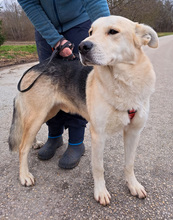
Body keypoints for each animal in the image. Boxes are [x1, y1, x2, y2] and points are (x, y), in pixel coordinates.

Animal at [8, 15, 159, 206]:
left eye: (113, 31)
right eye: (91, 32)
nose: (82, 46)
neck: (123, 82)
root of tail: (33, 67)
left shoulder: (133, 132)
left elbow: (129, 163)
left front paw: (133, 185)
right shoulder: (98, 135)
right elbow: (98, 167)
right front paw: (100, 192)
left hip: (47, 112)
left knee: (28, 135)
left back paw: (35, 143)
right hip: (37, 115)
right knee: (22, 147)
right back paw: (24, 175)